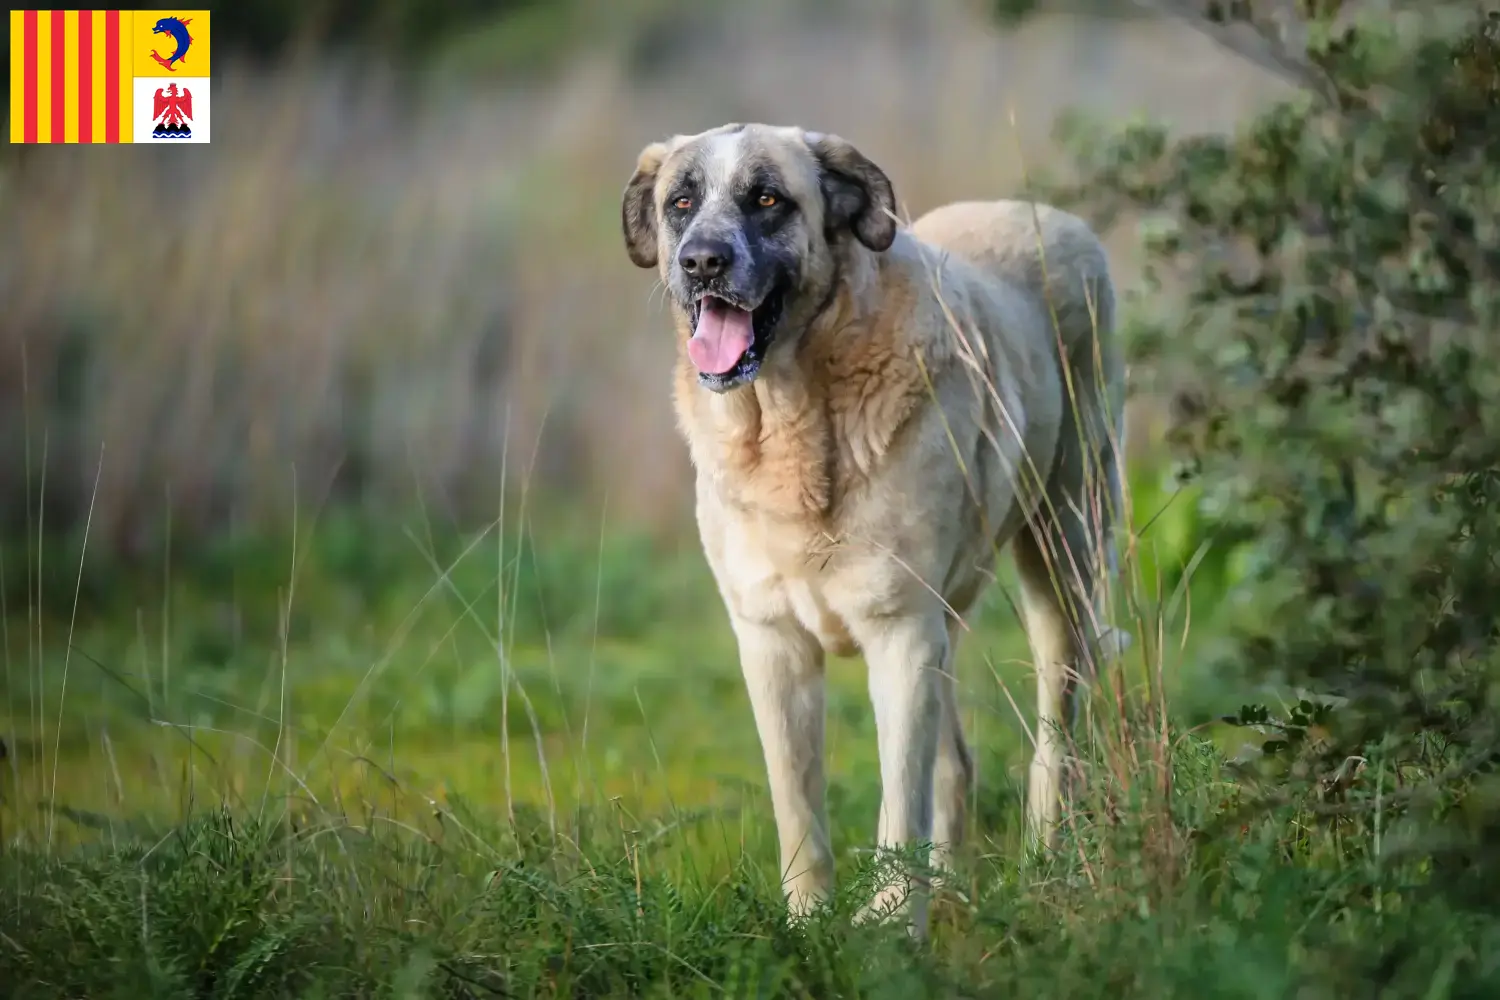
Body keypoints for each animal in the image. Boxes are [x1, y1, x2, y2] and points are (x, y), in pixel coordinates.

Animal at [618, 121, 1128, 935]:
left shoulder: (901, 636)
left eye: (768, 199)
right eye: (682, 203)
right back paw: (949, 888)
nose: (702, 262)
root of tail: (1051, 217)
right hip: (951, 614)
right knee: (956, 763)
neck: (792, 421)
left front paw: (891, 927)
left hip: (1063, 556)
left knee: (1055, 735)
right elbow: (798, 805)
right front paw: (809, 924)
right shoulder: (772, 643)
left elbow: (898, 802)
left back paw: (1044, 863)